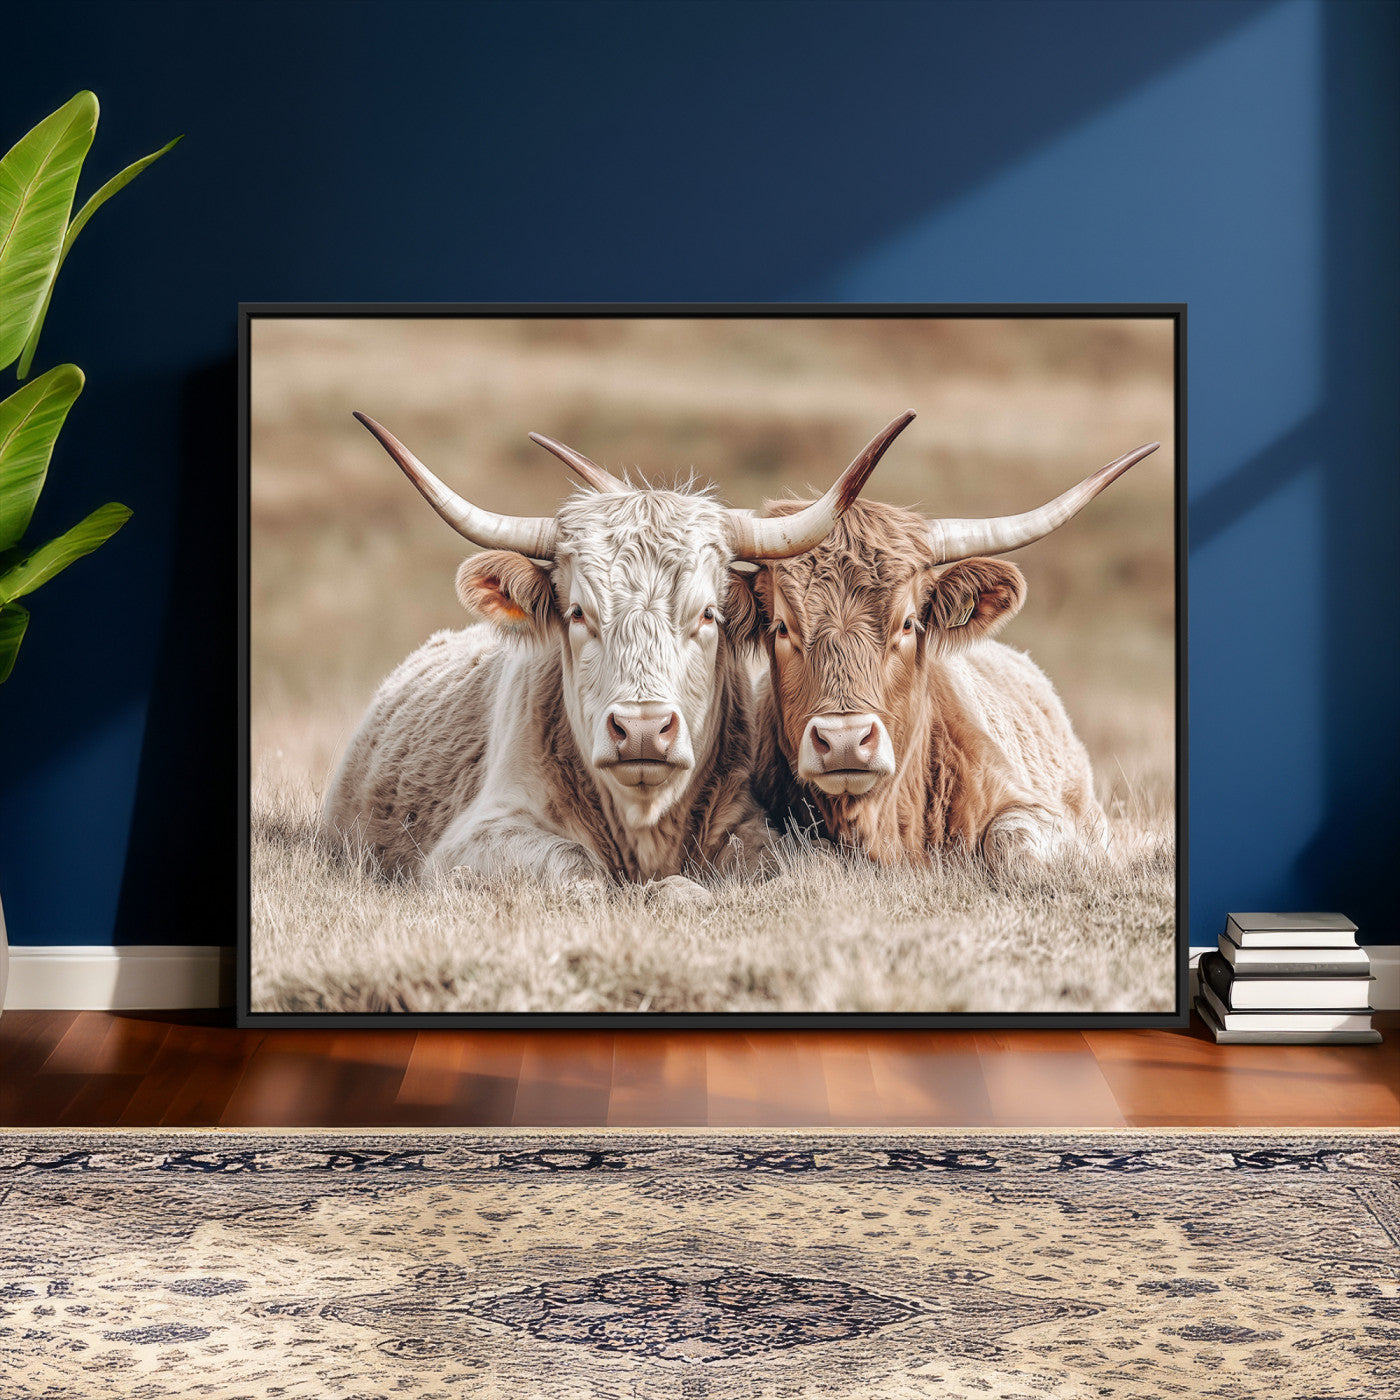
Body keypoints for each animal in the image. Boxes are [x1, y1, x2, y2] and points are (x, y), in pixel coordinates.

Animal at [320, 410, 914, 901]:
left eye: (708, 614)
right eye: (578, 612)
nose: (643, 730)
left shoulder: (753, 824)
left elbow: (794, 865)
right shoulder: (477, 838)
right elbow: (575, 866)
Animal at [734, 442, 1161, 868]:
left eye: (908, 623)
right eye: (782, 628)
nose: (844, 741)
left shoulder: (1041, 814)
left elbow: (1010, 841)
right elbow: (802, 850)